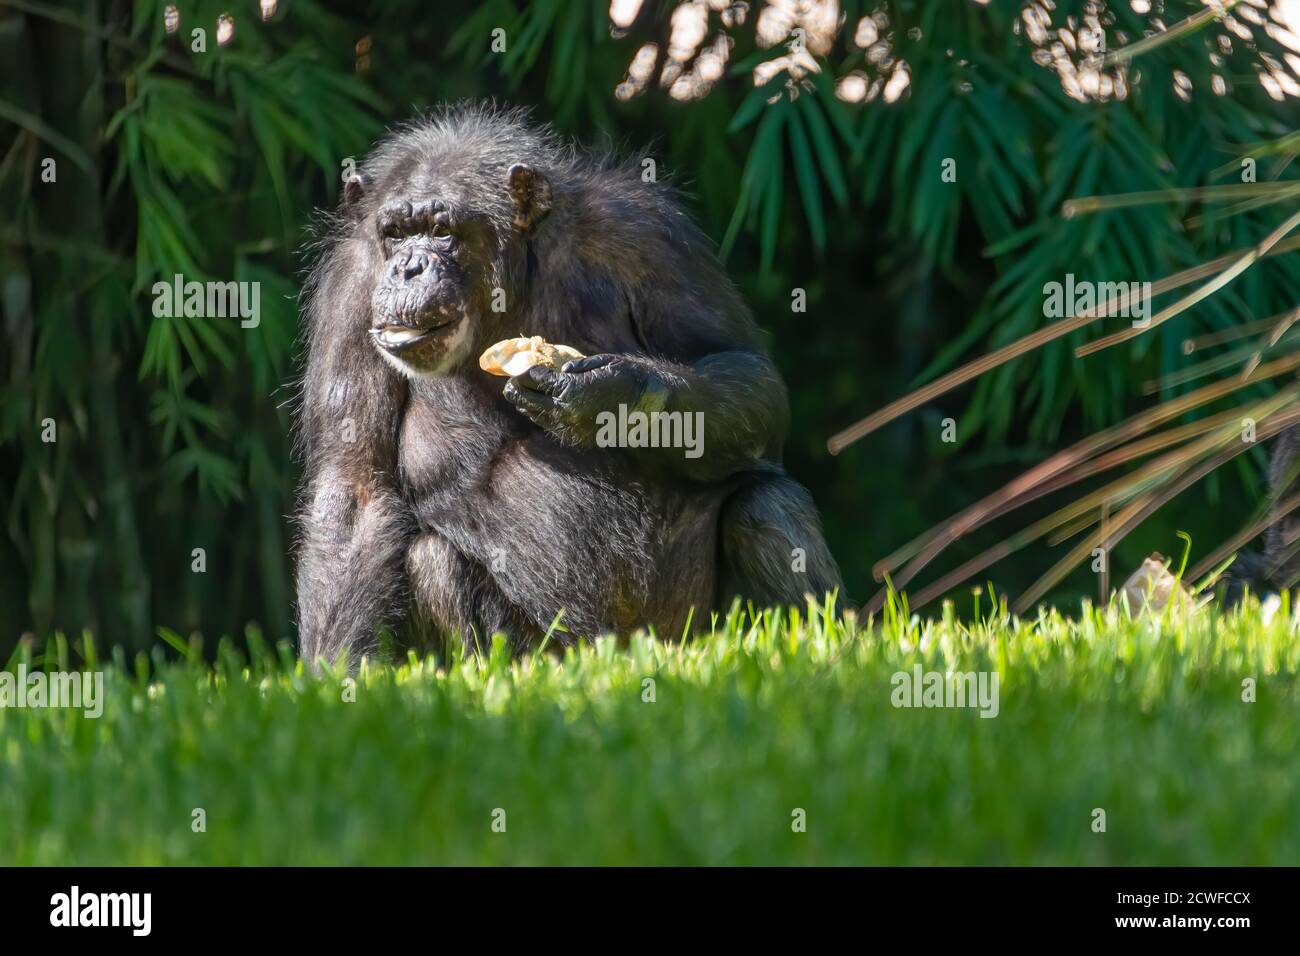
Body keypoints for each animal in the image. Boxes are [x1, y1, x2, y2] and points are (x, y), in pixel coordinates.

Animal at [295, 102, 842, 658]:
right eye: (396, 233)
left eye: (442, 230)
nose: (408, 267)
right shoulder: (352, 289)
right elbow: (355, 487)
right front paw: (340, 672)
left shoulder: (649, 235)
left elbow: (739, 365)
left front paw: (610, 396)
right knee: (434, 560)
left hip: (688, 628)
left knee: (765, 504)